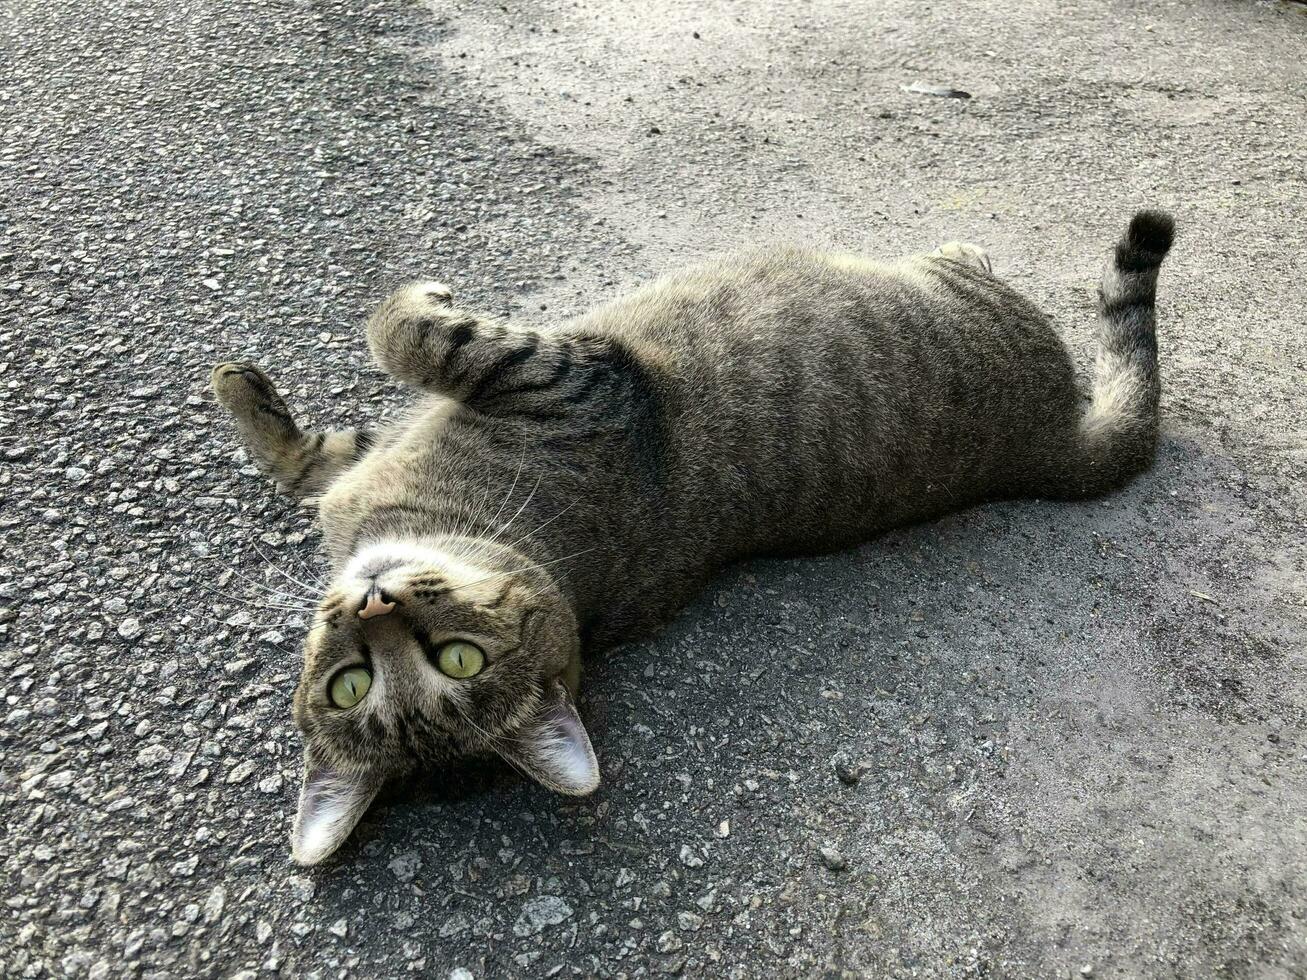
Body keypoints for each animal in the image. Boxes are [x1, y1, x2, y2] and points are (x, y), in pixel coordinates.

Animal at [211, 211, 1176, 862]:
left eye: (456, 659)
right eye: (351, 685)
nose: (373, 605)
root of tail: (1051, 451)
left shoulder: (562, 376)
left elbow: (397, 337)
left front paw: (255, 388)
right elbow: (350, 411)